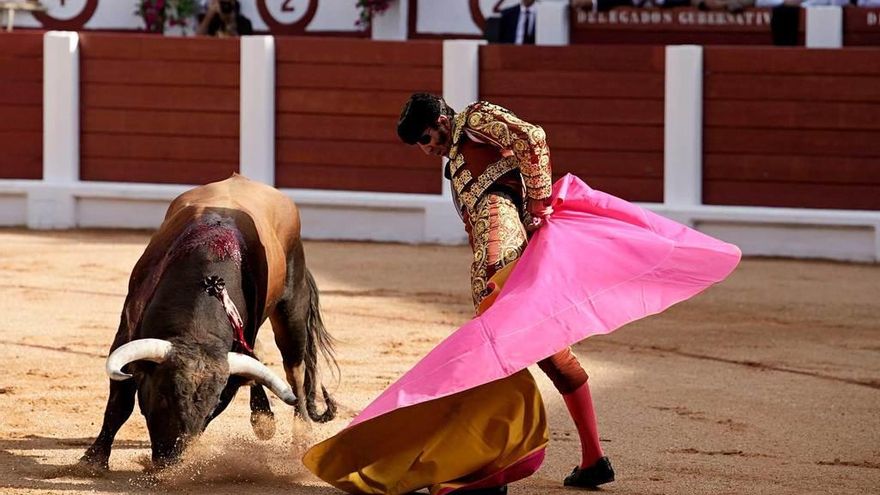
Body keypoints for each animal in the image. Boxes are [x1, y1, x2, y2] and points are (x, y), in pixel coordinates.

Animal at [80, 174, 336, 468]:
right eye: (164, 394)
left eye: (214, 406)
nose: (172, 459)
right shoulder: (127, 329)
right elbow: (120, 402)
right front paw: (93, 459)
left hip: (291, 308)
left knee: (294, 369)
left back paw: (298, 436)